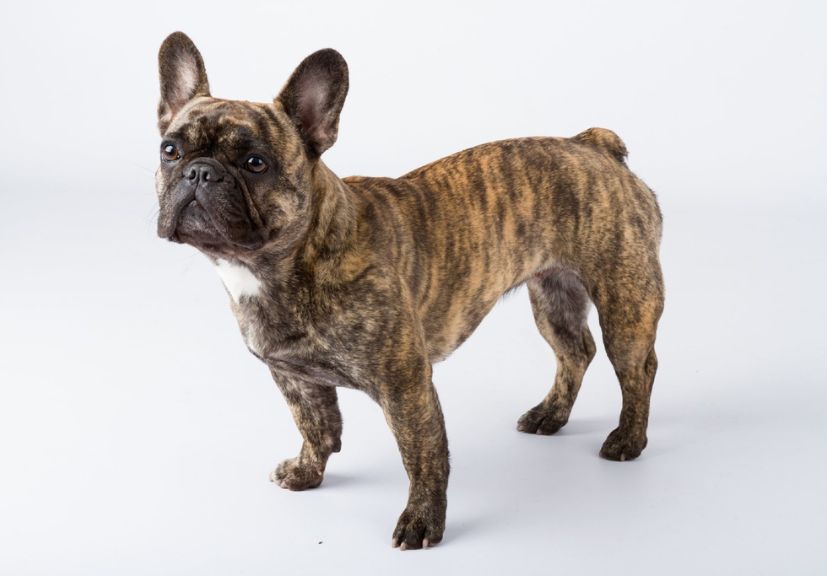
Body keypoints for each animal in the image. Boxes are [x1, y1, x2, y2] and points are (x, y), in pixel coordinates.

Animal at [155, 30, 668, 548]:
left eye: (256, 163)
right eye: (169, 150)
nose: (200, 171)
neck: (285, 262)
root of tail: (595, 146)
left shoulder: (405, 385)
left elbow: (422, 455)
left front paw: (422, 521)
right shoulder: (293, 376)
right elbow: (316, 427)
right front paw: (306, 472)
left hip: (626, 300)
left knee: (637, 368)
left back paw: (628, 439)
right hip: (553, 297)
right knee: (575, 352)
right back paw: (551, 415)